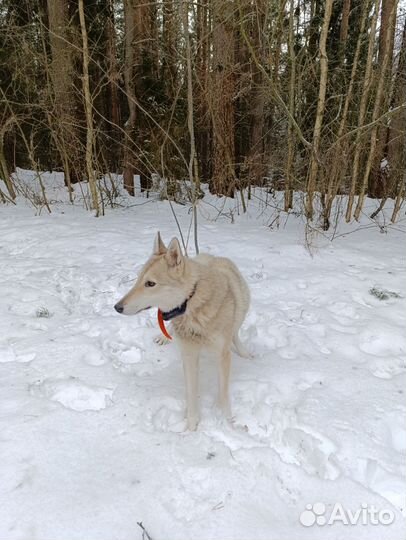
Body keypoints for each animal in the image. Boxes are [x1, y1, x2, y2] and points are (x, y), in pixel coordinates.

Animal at [114, 232, 251, 430]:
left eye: (150, 283)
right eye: (138, 279)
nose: (117, 307)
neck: (191, 303)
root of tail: (213, 257)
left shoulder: (222, 355)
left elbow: (224, 396)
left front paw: (227, 423)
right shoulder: (189, 355)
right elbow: (192, 396)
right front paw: (191, 429)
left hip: (243, 307)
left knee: (235, 332)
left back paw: (244, 352)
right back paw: (164, 337)